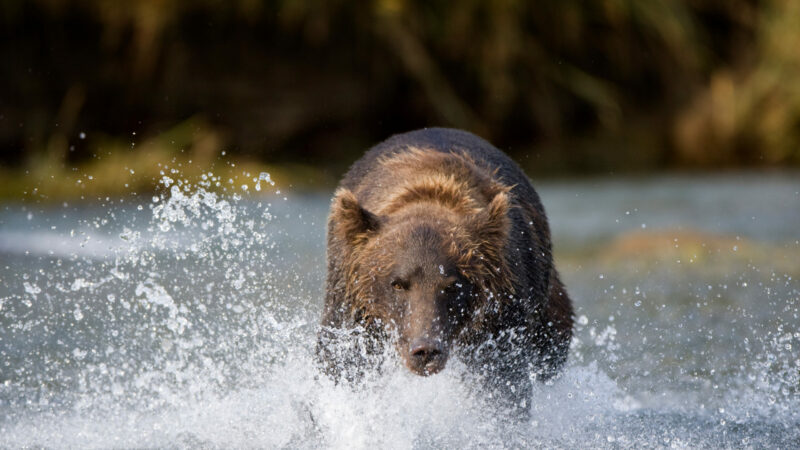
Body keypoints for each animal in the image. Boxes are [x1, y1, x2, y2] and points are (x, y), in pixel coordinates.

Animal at [316, 127, 572, 408]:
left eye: (453, 285)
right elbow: (345, 366)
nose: (425, 350)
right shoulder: (353, 310)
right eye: (398, 283)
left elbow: (503, 385)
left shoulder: (501, 317)